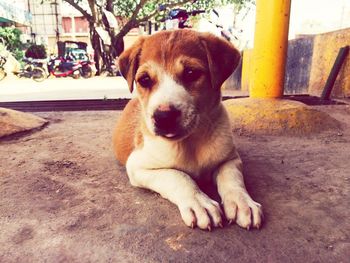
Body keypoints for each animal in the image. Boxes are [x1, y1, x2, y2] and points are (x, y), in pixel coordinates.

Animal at [112, 29, 262, 231]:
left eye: (191, 73)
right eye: (145, 79)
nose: (163, 117)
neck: (189, 142)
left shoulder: (230, 159)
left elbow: (232, 178)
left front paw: (242, 202)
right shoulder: (137, 166)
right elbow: (177, 175)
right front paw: (199, 202)